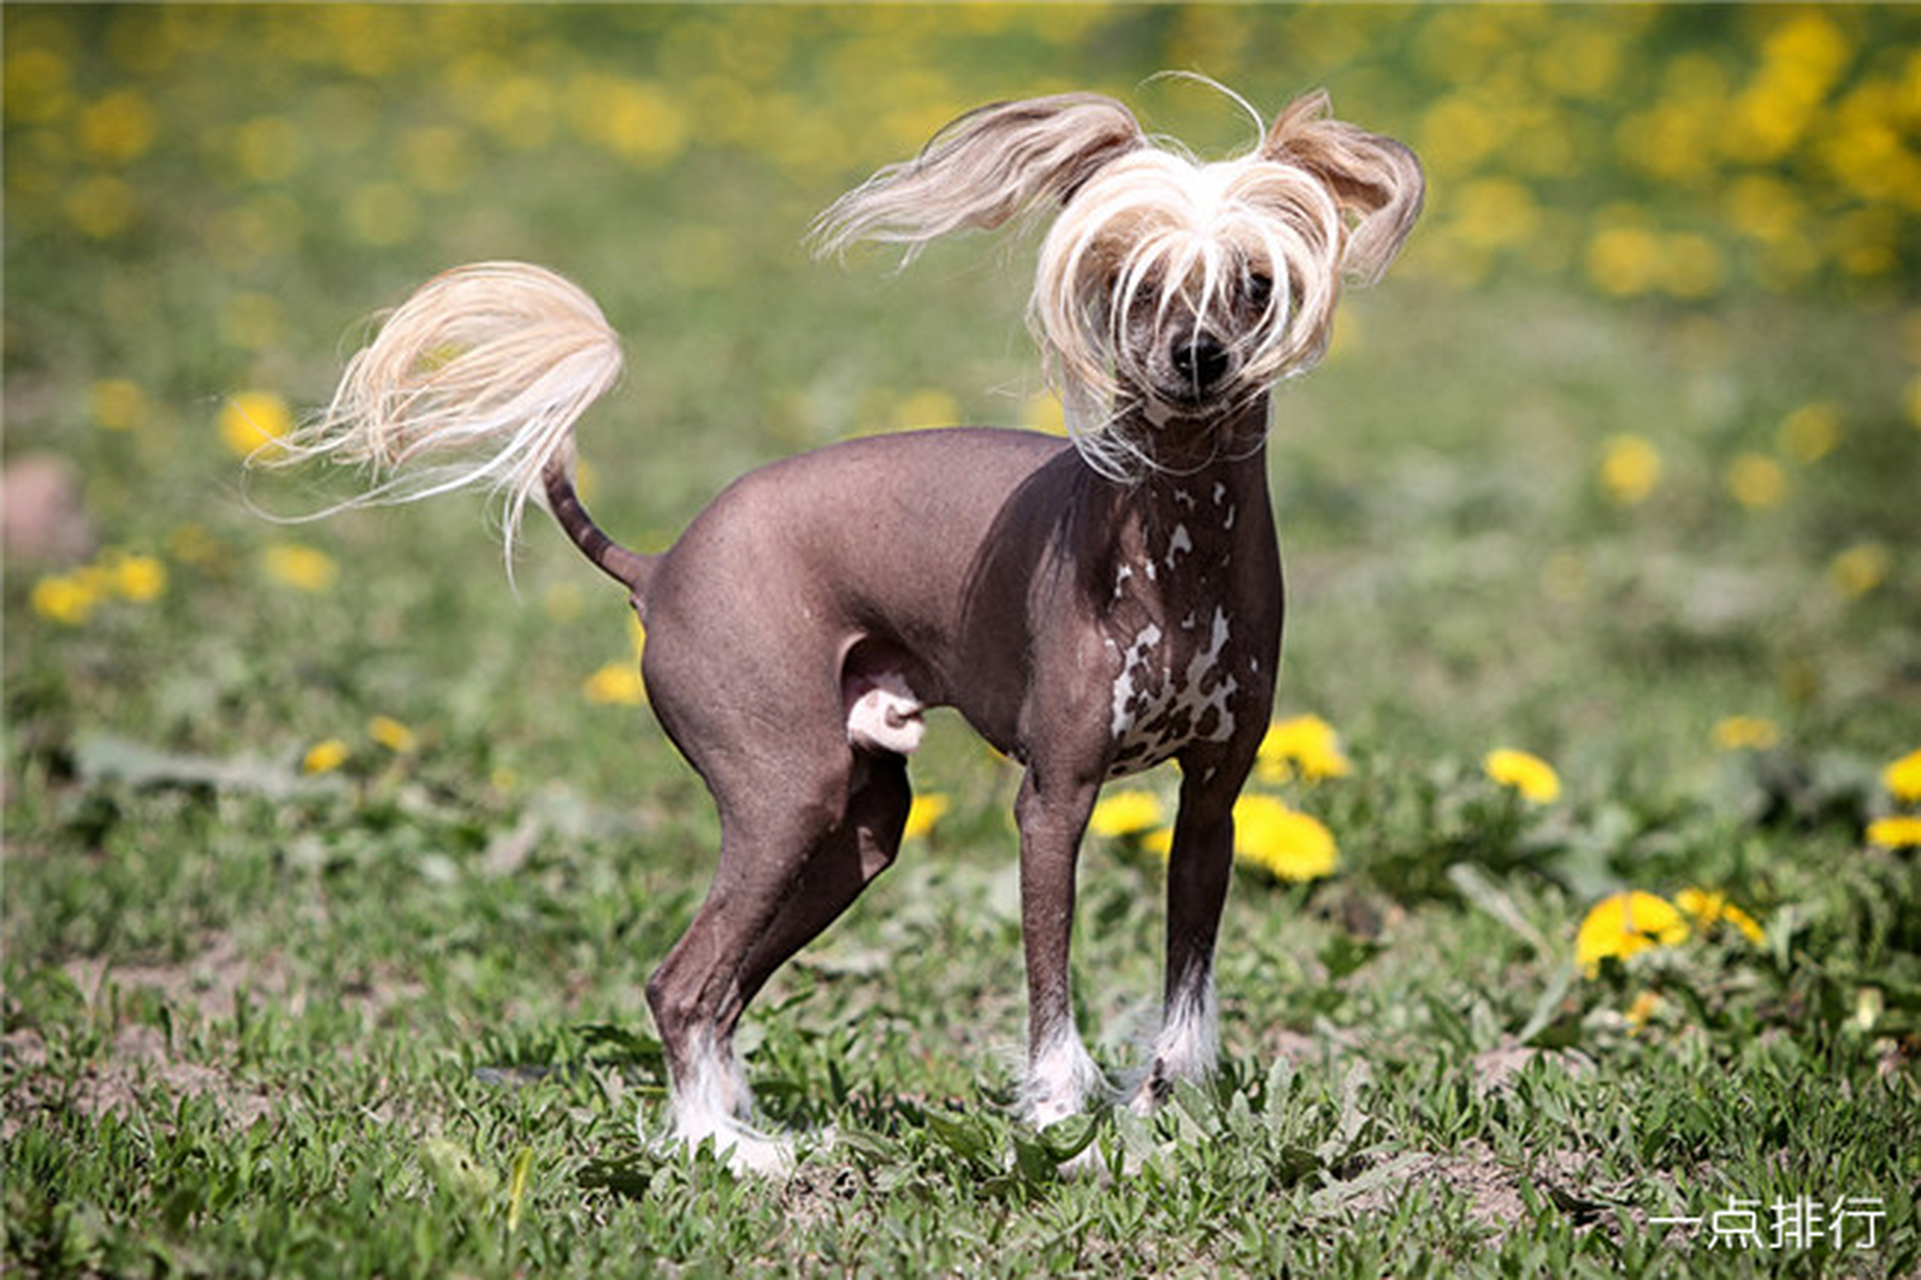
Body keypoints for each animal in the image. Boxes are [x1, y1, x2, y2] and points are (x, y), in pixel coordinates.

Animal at [288, 84, 1429, 1168]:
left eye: (1255, 282)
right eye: (1133, 282)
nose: (1197, 356)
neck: (1174, 546)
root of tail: (661, 567)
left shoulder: (1211, 805)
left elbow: (1183, 994)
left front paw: (1162, 1118)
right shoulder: (1053, 801)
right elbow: (1049, 988)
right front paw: (1058, 1122)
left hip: (858, 825)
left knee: (718, 988)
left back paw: (740, 1128)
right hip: (784, 790)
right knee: (678, 981)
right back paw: (723, 1149)